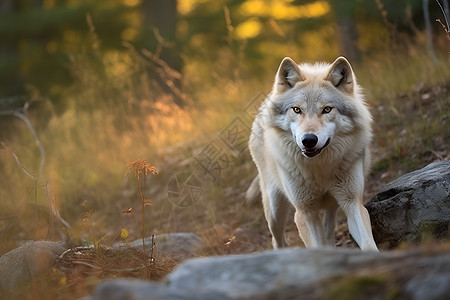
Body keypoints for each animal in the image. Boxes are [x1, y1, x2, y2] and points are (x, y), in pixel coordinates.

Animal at [248, 55, 378, 251]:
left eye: (327, 109)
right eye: (297, 109)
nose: (309, 140)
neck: (319, 169)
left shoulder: (353, 202)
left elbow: (368, 244)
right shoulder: (304, 212)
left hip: (331, 205)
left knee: (328, 232)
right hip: (275, 211)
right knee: (277, 241)